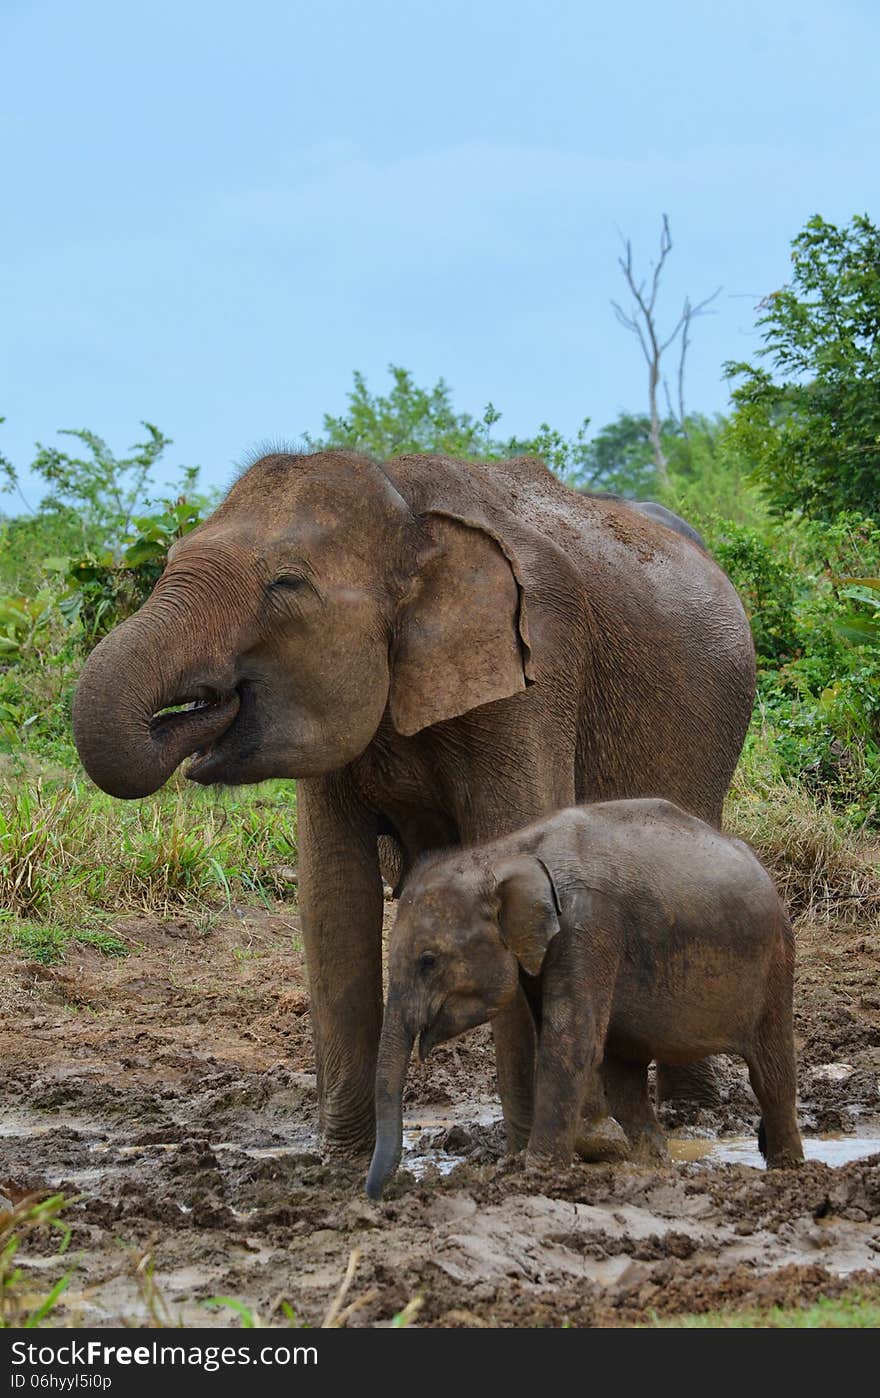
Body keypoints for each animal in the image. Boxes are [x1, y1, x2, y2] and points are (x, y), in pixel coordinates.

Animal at [72, 450, 749, 1157]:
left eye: (285, 584)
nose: (202, 709)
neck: (409, 518)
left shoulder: (534, 679)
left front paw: (562, 1151)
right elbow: (335, 898)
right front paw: (341, 1161)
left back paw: (691, 1120)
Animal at [363, 805, 805, 1196]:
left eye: (428, 961)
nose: (382, 1192)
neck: (504, 853)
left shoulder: (590, 926)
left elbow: (570, 1041)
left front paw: (535, 1173)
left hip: (775, 961)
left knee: (771, 1072)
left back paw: (788, 1169)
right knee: (624, 1072)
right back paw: (652, 1166)